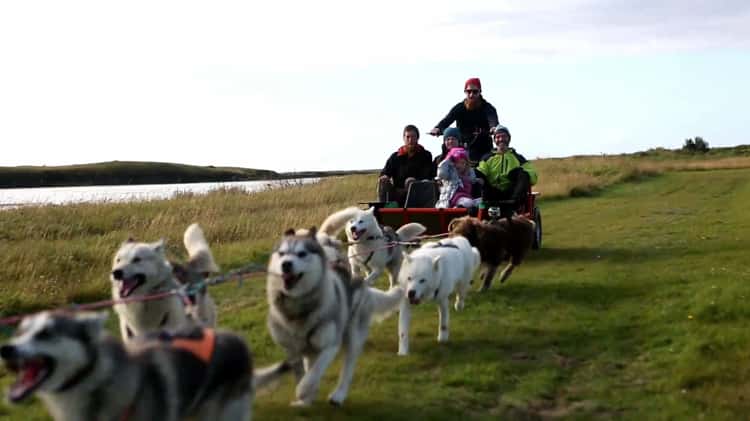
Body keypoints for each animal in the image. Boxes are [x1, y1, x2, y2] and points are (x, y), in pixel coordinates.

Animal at [266, 228, 406, 406]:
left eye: (302, 254)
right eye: (282, 254)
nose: (286, 265)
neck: (299, 308)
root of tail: (363, 285)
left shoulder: (330, 345)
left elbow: (313, 373)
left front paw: (303, 390)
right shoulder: (292, 350)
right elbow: (304, 374)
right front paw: (305, 399)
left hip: (352, 336)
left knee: (348, 368)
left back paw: (338, 395)